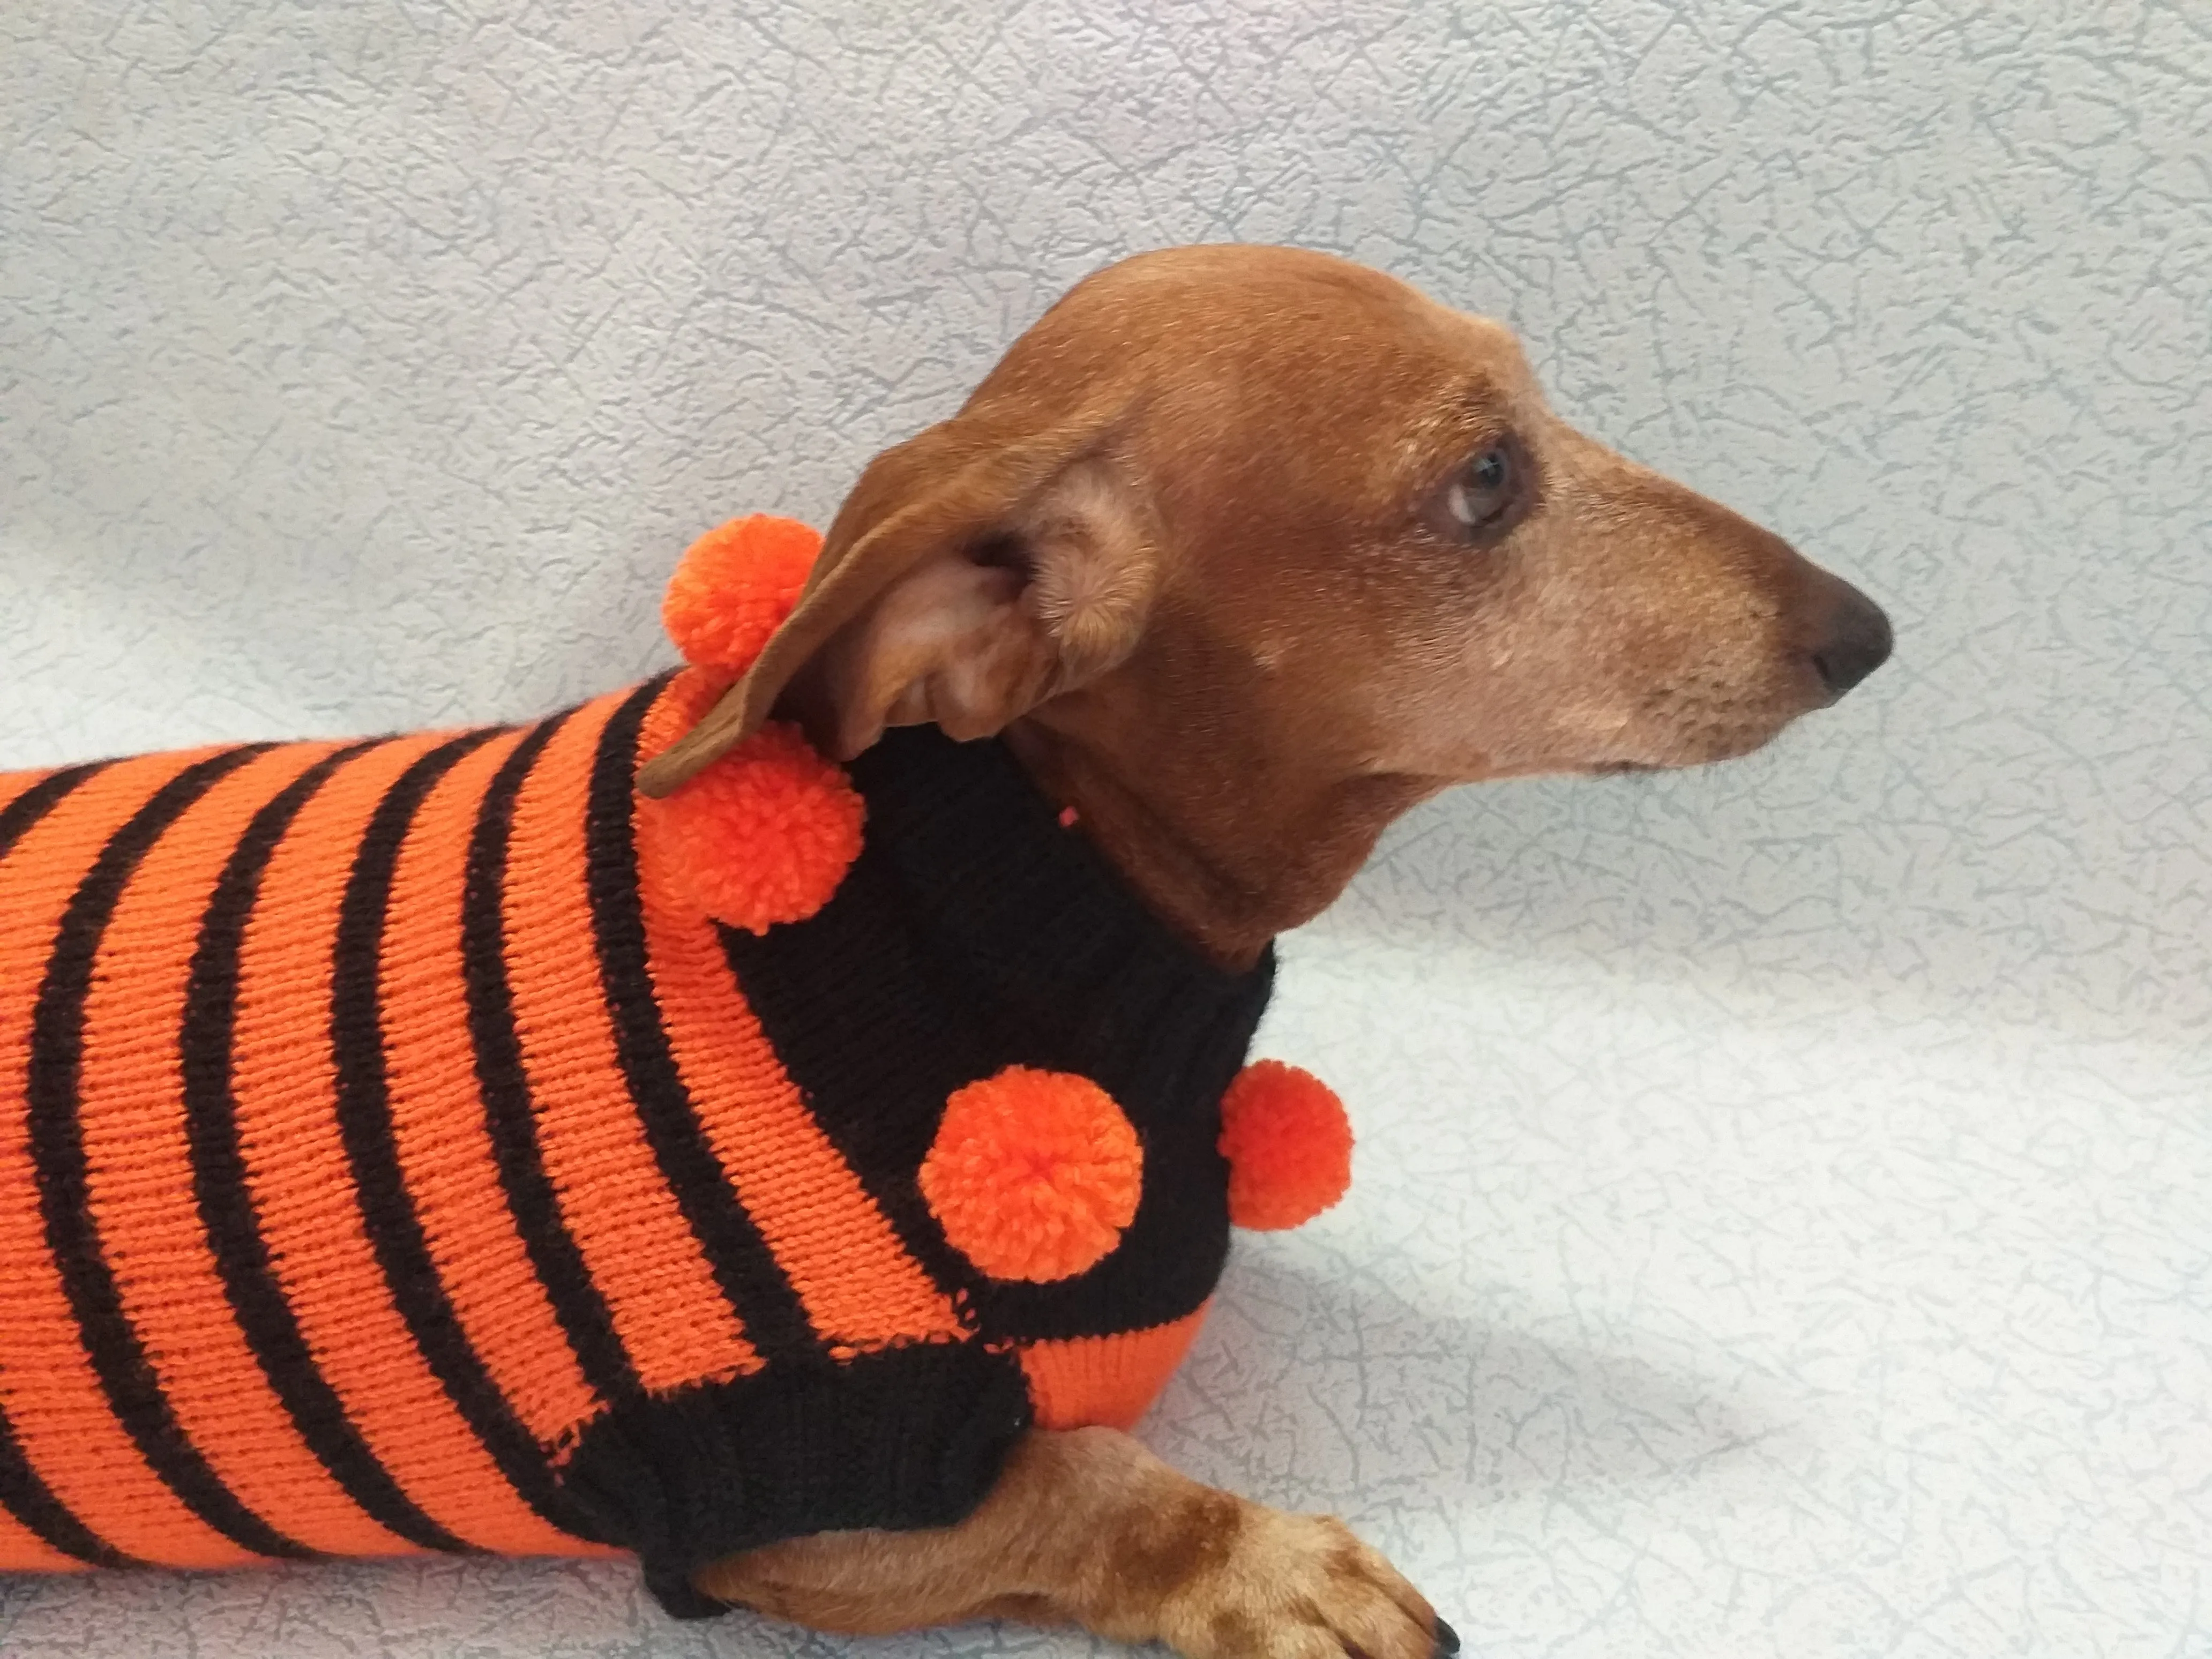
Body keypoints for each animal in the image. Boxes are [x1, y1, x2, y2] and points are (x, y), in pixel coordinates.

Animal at [637, 246, 1885, 1659]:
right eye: (1486, 476)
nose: (1866, 632)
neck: (1023, 869)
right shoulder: (789, 1498)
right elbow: (1082, 1483)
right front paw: (1271, 1564)